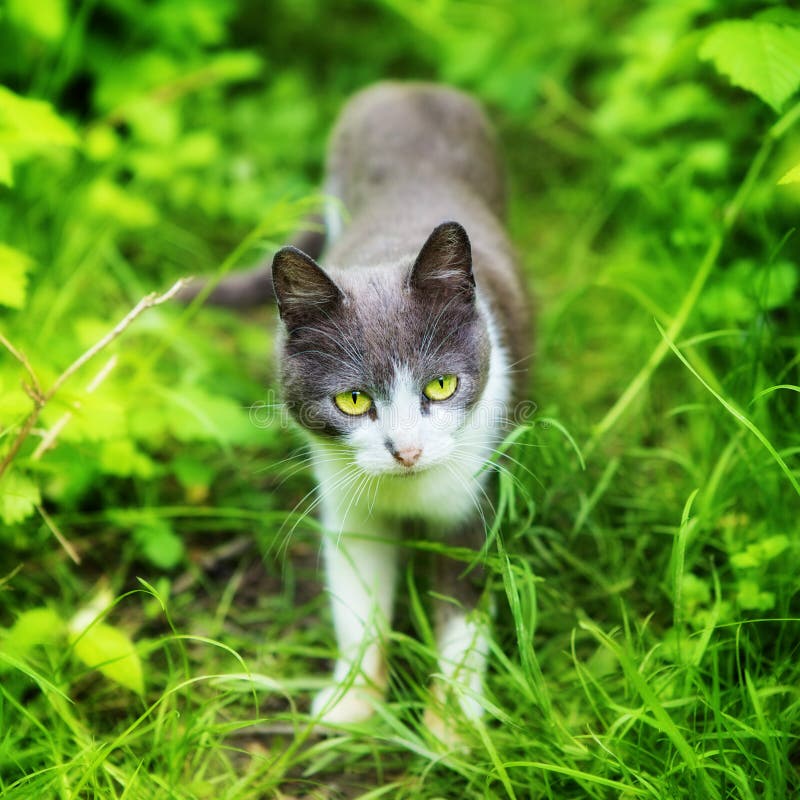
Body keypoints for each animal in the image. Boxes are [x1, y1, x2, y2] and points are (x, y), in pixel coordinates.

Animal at [187, 83, 528, 736]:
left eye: (441, 385)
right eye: (352, 399)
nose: (407, 450)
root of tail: (410, 84)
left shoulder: (479, 491)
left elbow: (463, 617)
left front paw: (452, 727)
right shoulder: (344, 500)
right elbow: (358, 598)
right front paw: (353, 703)